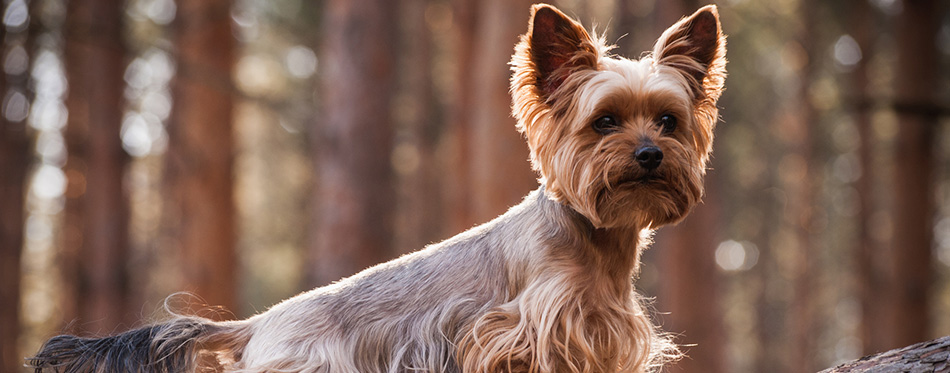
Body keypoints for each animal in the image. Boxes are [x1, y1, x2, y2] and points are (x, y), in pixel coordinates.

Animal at [29, 4, 728, 370]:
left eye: (668, 121)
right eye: (604, 121)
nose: (648, 155)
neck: (596, 236)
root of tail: (254, 327)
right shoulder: (520, 337)